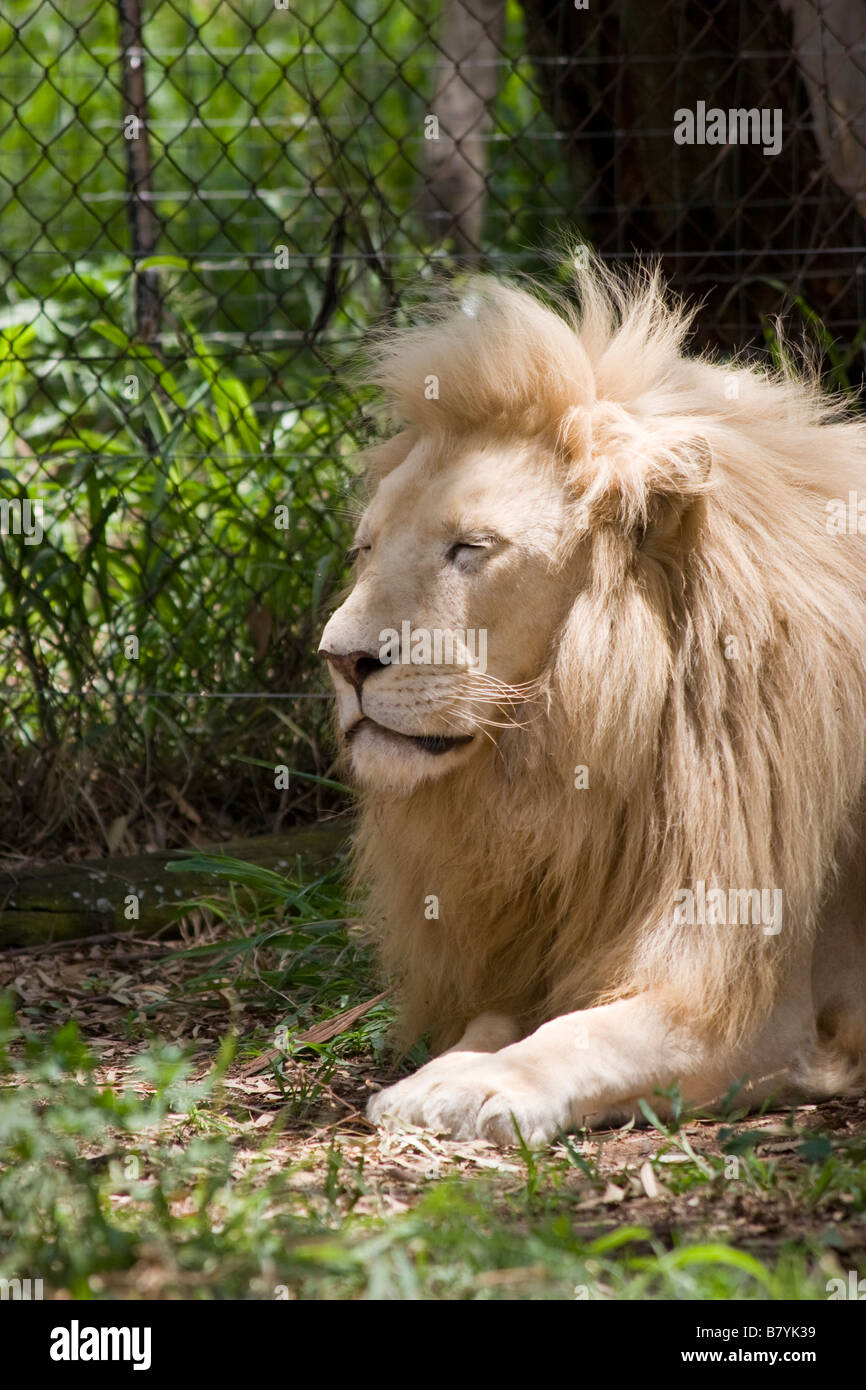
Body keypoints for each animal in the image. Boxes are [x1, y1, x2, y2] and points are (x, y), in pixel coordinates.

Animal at [318, 258, 866, 1147]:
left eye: (470, 548)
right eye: (366, 548)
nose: (340, 660)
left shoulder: (756, 1004)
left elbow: (587, 1033)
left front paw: (486, 1086)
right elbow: (502, 1020)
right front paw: (441, 1074)